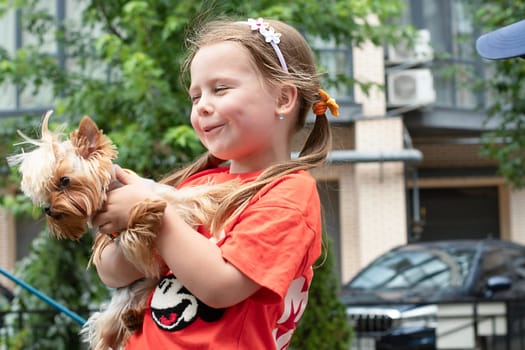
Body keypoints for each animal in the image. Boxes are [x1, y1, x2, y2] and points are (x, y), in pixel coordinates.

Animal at [7, 111, 233, 348]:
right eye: (44, 193)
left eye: (65, 180)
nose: (48, 209)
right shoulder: (127, 240)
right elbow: (133, 234)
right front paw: (145, 212)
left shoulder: (172, 196)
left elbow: (197, 196)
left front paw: (227, 189)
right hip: (121, 303)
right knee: (110, 332)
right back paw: (132, 318)